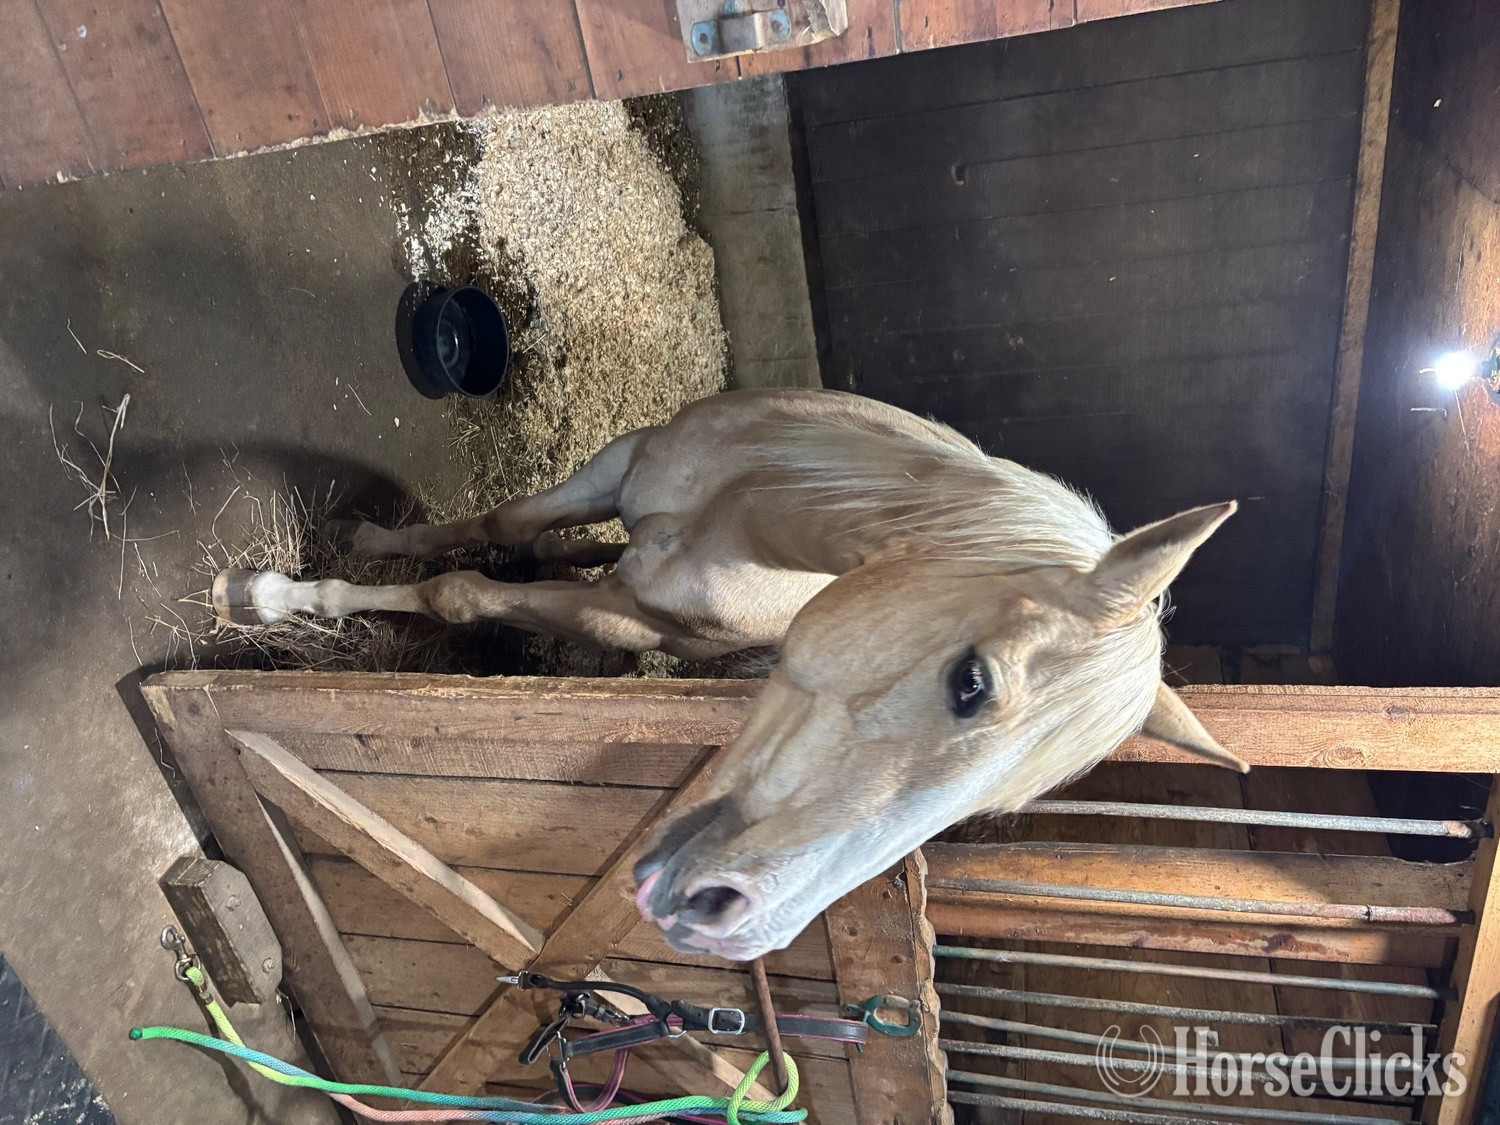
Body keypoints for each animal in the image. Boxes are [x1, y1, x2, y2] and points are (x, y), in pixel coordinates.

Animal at [213, 387, 1245, 960]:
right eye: (971, 683)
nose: (734, 923)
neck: (752, 516)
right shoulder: (623, 459)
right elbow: (499, 529)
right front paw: (333, 560)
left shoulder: (620, 611)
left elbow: (463, 594)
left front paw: (279, 596)